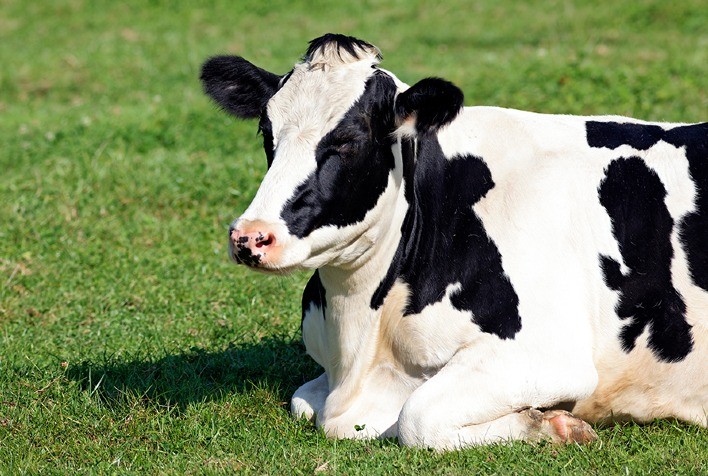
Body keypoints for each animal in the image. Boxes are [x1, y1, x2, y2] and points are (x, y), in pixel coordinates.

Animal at [200, 34, 708, 449]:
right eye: (267, 132)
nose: (250, 237)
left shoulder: (547, 355)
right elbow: (302, 400)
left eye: (349, 141)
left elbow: (417, 418)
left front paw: (554, 425)